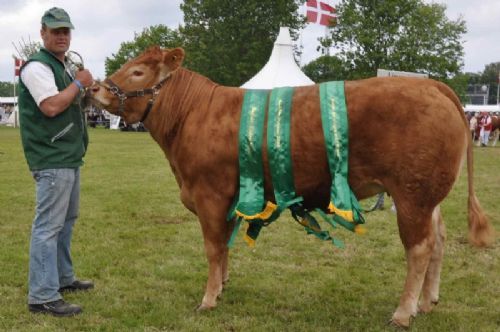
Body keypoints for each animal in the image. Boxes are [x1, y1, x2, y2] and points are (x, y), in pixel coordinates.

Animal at [88, 45, 494, 328]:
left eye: (138, 71)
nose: (95, 89)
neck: (192, 116)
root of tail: (431, 85)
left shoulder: (209, 195)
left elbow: (212, 248)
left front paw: (208, 298)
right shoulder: (231, 197)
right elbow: (224, 248)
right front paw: (223, 284)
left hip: (412, 195)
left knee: (420, 248)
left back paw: (404, 312)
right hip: (427, 197)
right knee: (439, 239)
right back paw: (428, 302)